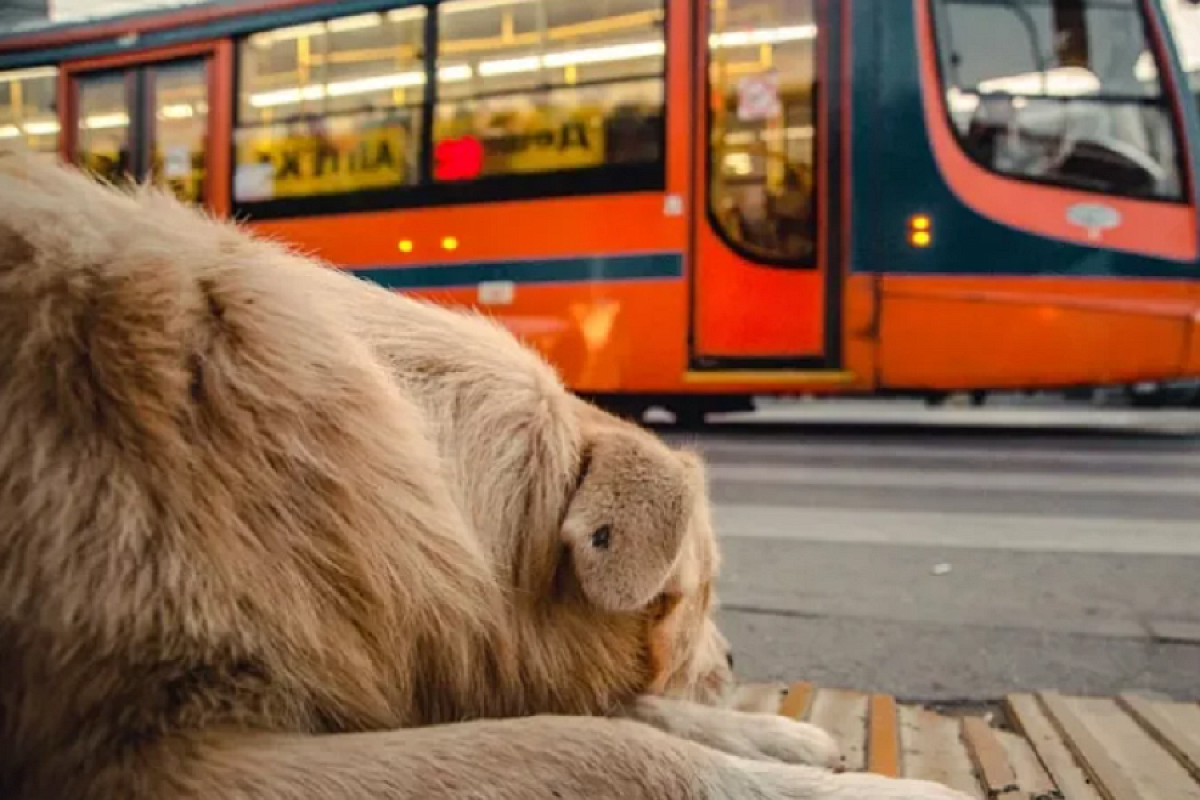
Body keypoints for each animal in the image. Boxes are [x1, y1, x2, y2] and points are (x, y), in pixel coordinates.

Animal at [0, 149, 969, 800]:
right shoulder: (159, 759)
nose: (735, 661)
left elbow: (613, 713)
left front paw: (776, 736)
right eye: (696, 595)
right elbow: (608, 748)